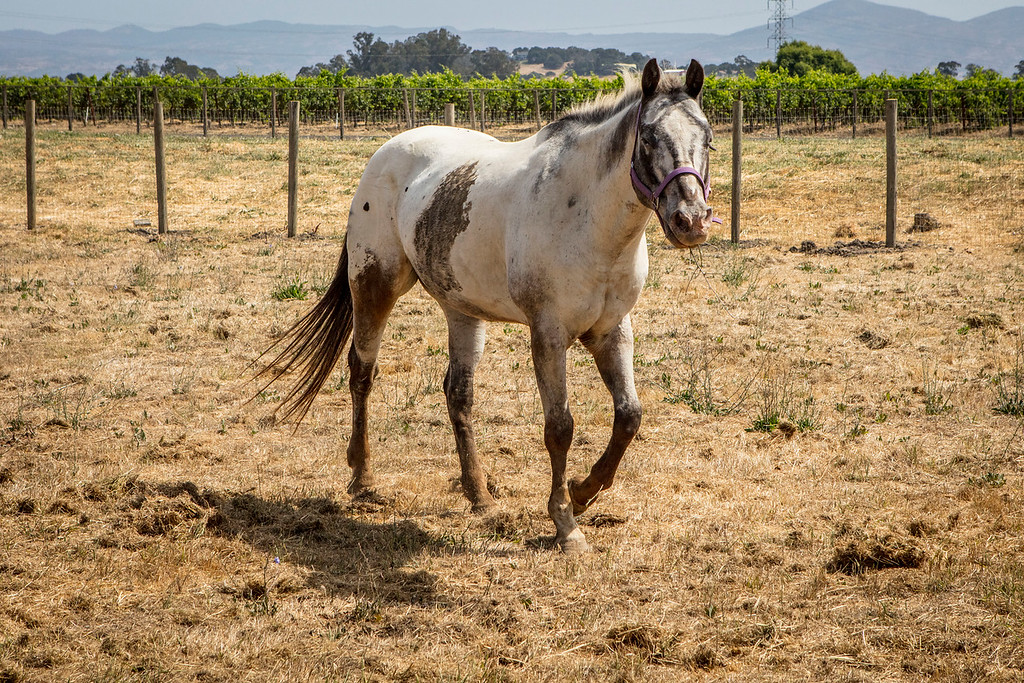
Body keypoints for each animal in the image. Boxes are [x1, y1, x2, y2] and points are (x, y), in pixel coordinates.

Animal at [256, 56, 720, 552]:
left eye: (709, 138)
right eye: (648, 137)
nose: (691, 221)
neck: (586, 218)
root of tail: (386, 153)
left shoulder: (612, 330)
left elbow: (629, 417)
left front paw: (583, 492)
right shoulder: (548, 333)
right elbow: (560, 427)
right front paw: (565, 522)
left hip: (462, 309)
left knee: (458, 394)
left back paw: (478, 494)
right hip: (375, 285)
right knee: (362, 373)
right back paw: (364, 480)